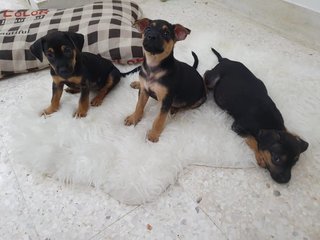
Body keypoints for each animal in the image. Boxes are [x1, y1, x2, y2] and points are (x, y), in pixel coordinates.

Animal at [205, 47, 308, 183]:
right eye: (276, 159)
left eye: (295, 162)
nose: (285, 181)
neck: (271, 125)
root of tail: (225, 60)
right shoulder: (237, 126)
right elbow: (253, 139)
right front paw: (260, 156)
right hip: (213, 77)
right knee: (206, 73)